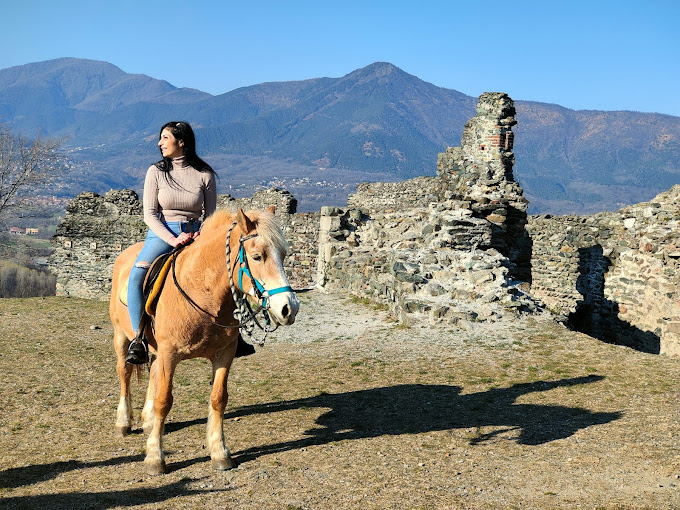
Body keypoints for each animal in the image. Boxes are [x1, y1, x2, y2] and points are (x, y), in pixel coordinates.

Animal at [109, 207, 300, 474]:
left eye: (283, 255)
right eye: (257, 256)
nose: (289, 308)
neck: (202, 291)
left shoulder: (224, 354)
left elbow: (218, 399)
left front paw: (219, 452)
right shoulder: (169, 354)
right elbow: (163, 400)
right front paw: (155, 457)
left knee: (153, 375)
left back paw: (147, 422)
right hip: (122, 337)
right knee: (125, 373)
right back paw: (123, 422)